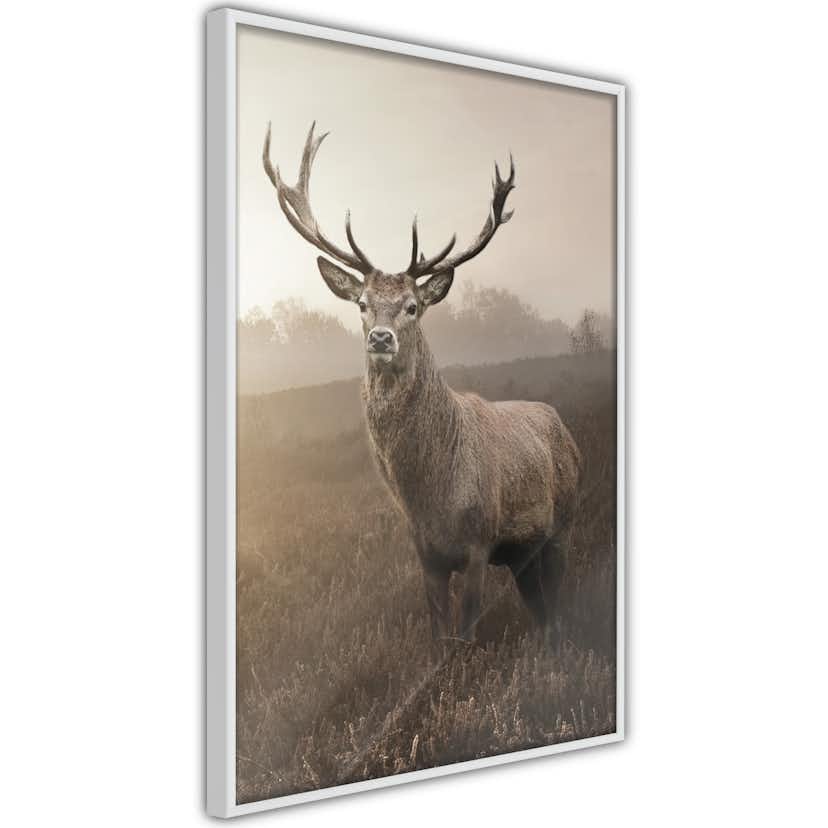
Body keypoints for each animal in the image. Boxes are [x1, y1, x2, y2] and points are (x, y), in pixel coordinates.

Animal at [263, 122, 581, 645]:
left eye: (413, 306)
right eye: (362, 304)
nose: (381, 337)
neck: (431, 497)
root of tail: (562, 423)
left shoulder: (478, 542)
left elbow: (466, 635)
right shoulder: (426, 556)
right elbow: (438, 638)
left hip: (563, 523)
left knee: (557, 602)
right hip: (523, 554)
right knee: (539, 605)